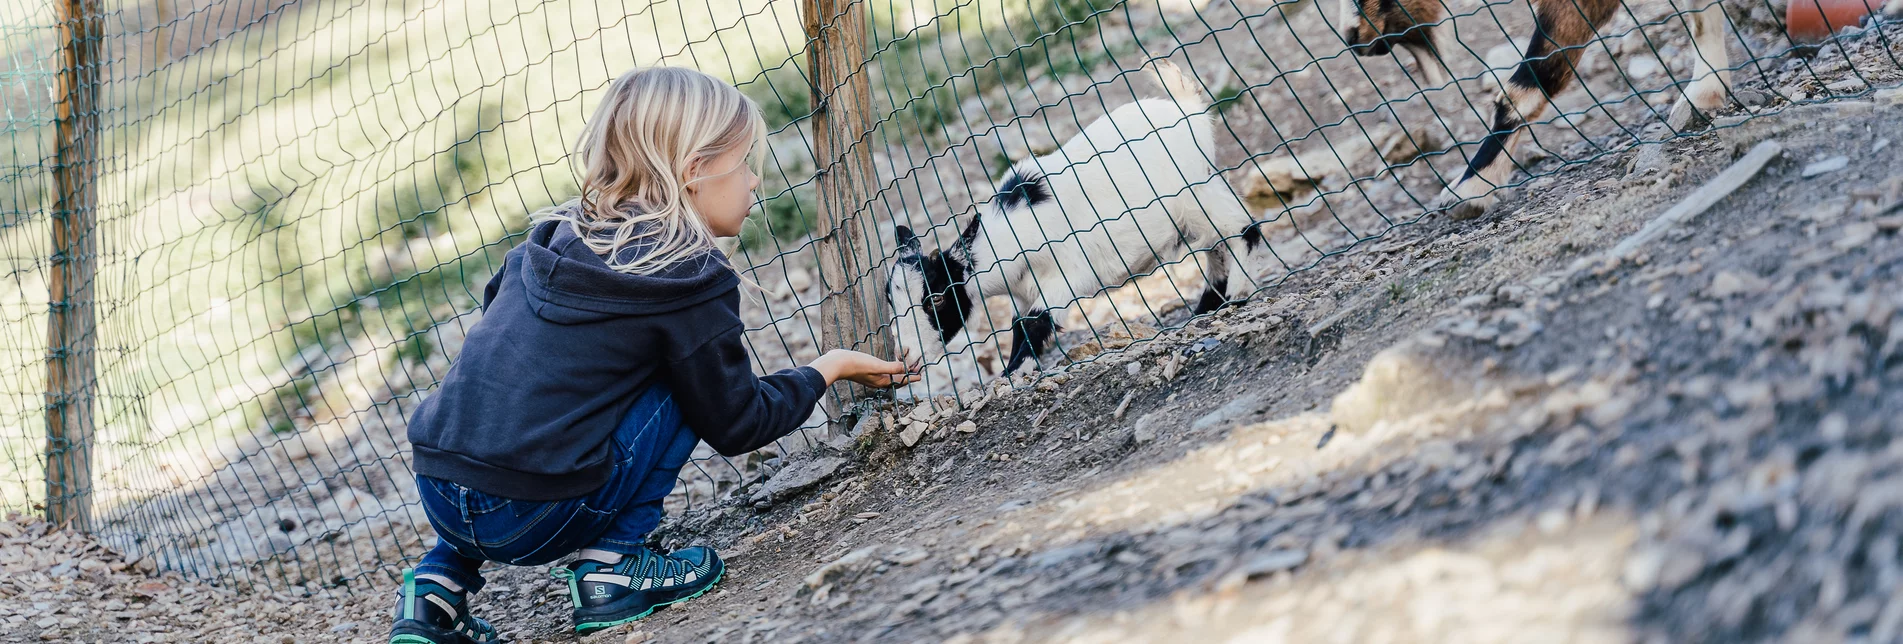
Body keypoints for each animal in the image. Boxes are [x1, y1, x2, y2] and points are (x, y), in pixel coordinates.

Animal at [886, 60, 1263, 377]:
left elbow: (1038, 323)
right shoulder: (1022, 293)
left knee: (1242, 228)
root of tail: (1188, 109)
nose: (907, 356)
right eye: (891, 300)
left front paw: (1015, 373)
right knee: (1215, 247)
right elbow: (1020, 325)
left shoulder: (1063, 276)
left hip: (1195, 192)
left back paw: (1237, 293)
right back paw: (1208, 307)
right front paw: (1011, 370)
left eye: (936, 298)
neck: (1012, 232)